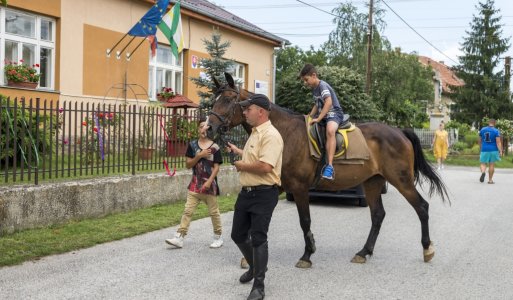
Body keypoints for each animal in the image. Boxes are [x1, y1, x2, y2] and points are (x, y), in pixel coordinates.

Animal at [208, 72, 448, 268]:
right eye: (214, 100)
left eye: (228, 100)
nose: (208, 127)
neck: (284, 134)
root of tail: (399, 132)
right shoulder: (278, 185)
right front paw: (247, 258)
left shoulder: (300, 188)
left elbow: (305, 221)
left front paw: (307, 255)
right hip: (373, 181)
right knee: (378, 215)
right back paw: (364, 252)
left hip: (401, 180)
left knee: (422, 207)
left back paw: (427, 249)